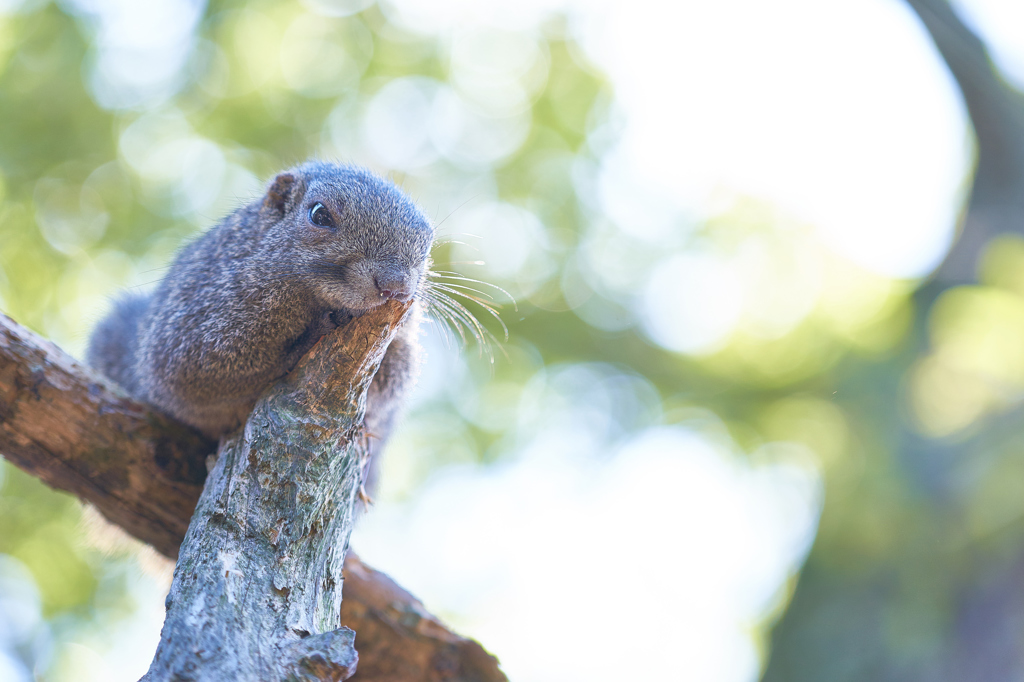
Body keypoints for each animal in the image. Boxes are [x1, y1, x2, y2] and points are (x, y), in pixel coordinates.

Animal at [81, 160, 430, 489]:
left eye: (427, 246)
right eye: (319, 215)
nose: (396, 286)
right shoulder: (191, 324)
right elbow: (201, 372)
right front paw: (312, 336)